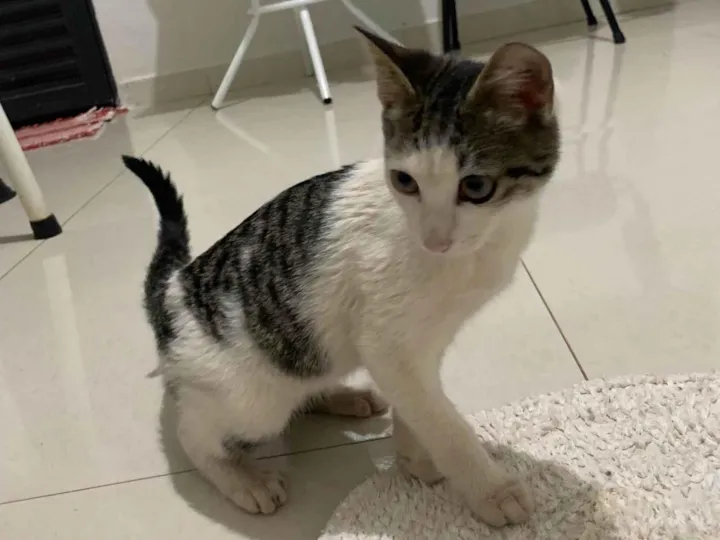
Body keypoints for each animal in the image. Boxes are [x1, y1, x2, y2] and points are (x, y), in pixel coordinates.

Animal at [122, 28, 559, 528]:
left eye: (476, 187)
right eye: (405, 181)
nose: (434, 239)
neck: (483, 247)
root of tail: (173, 286)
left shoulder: (423, 343)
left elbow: (420, 404)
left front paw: (416, 458)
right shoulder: (387, 342)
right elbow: (441, 419)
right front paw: (489, 488)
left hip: (306, 350)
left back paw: (341, 397)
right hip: (250, 399)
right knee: (193, 432)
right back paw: (241, 479)